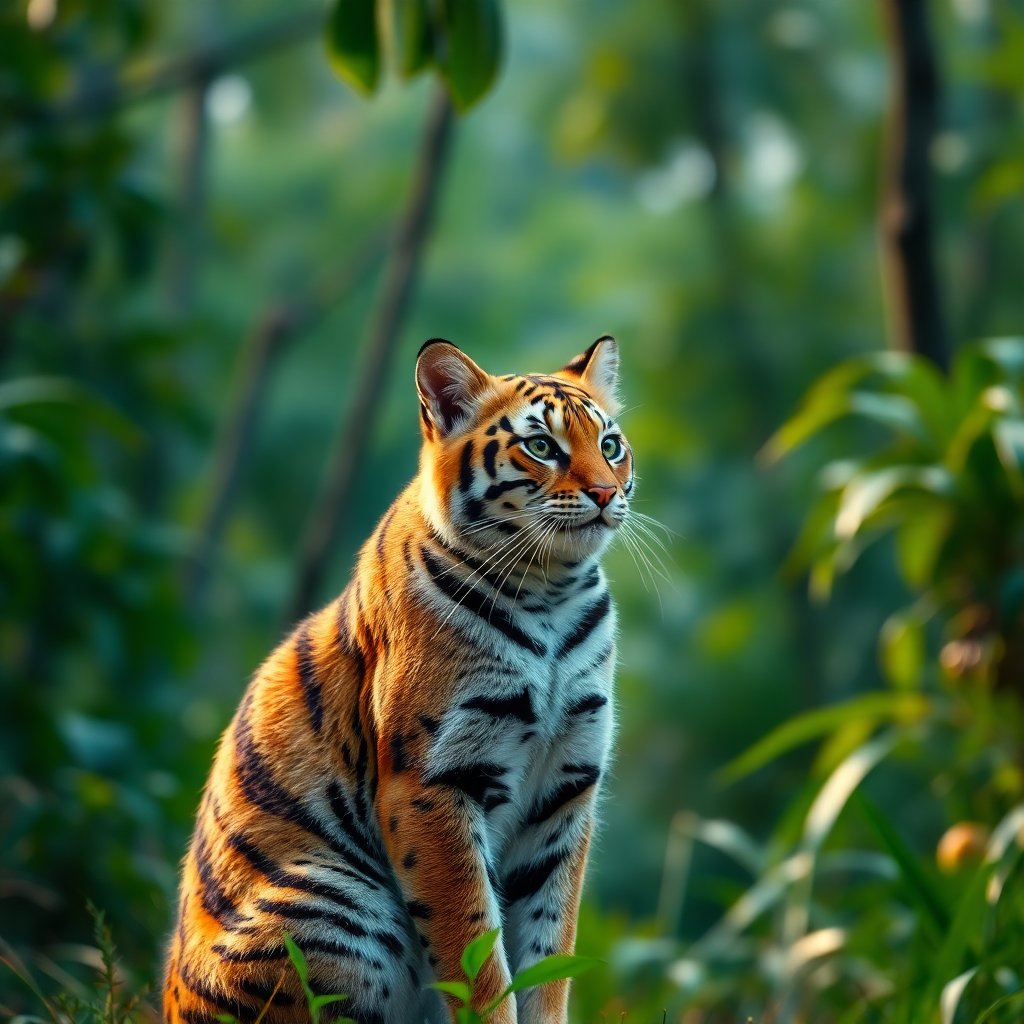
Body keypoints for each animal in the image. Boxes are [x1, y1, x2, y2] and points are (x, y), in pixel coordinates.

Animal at [163, 336, 634, 1024]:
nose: (605, 493)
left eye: (611, 445)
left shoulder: (566, 786)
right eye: (542, 446)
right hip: (336, 903)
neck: (550, 593)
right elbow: (476, 953)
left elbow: (549, 952)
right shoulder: (433, 781)